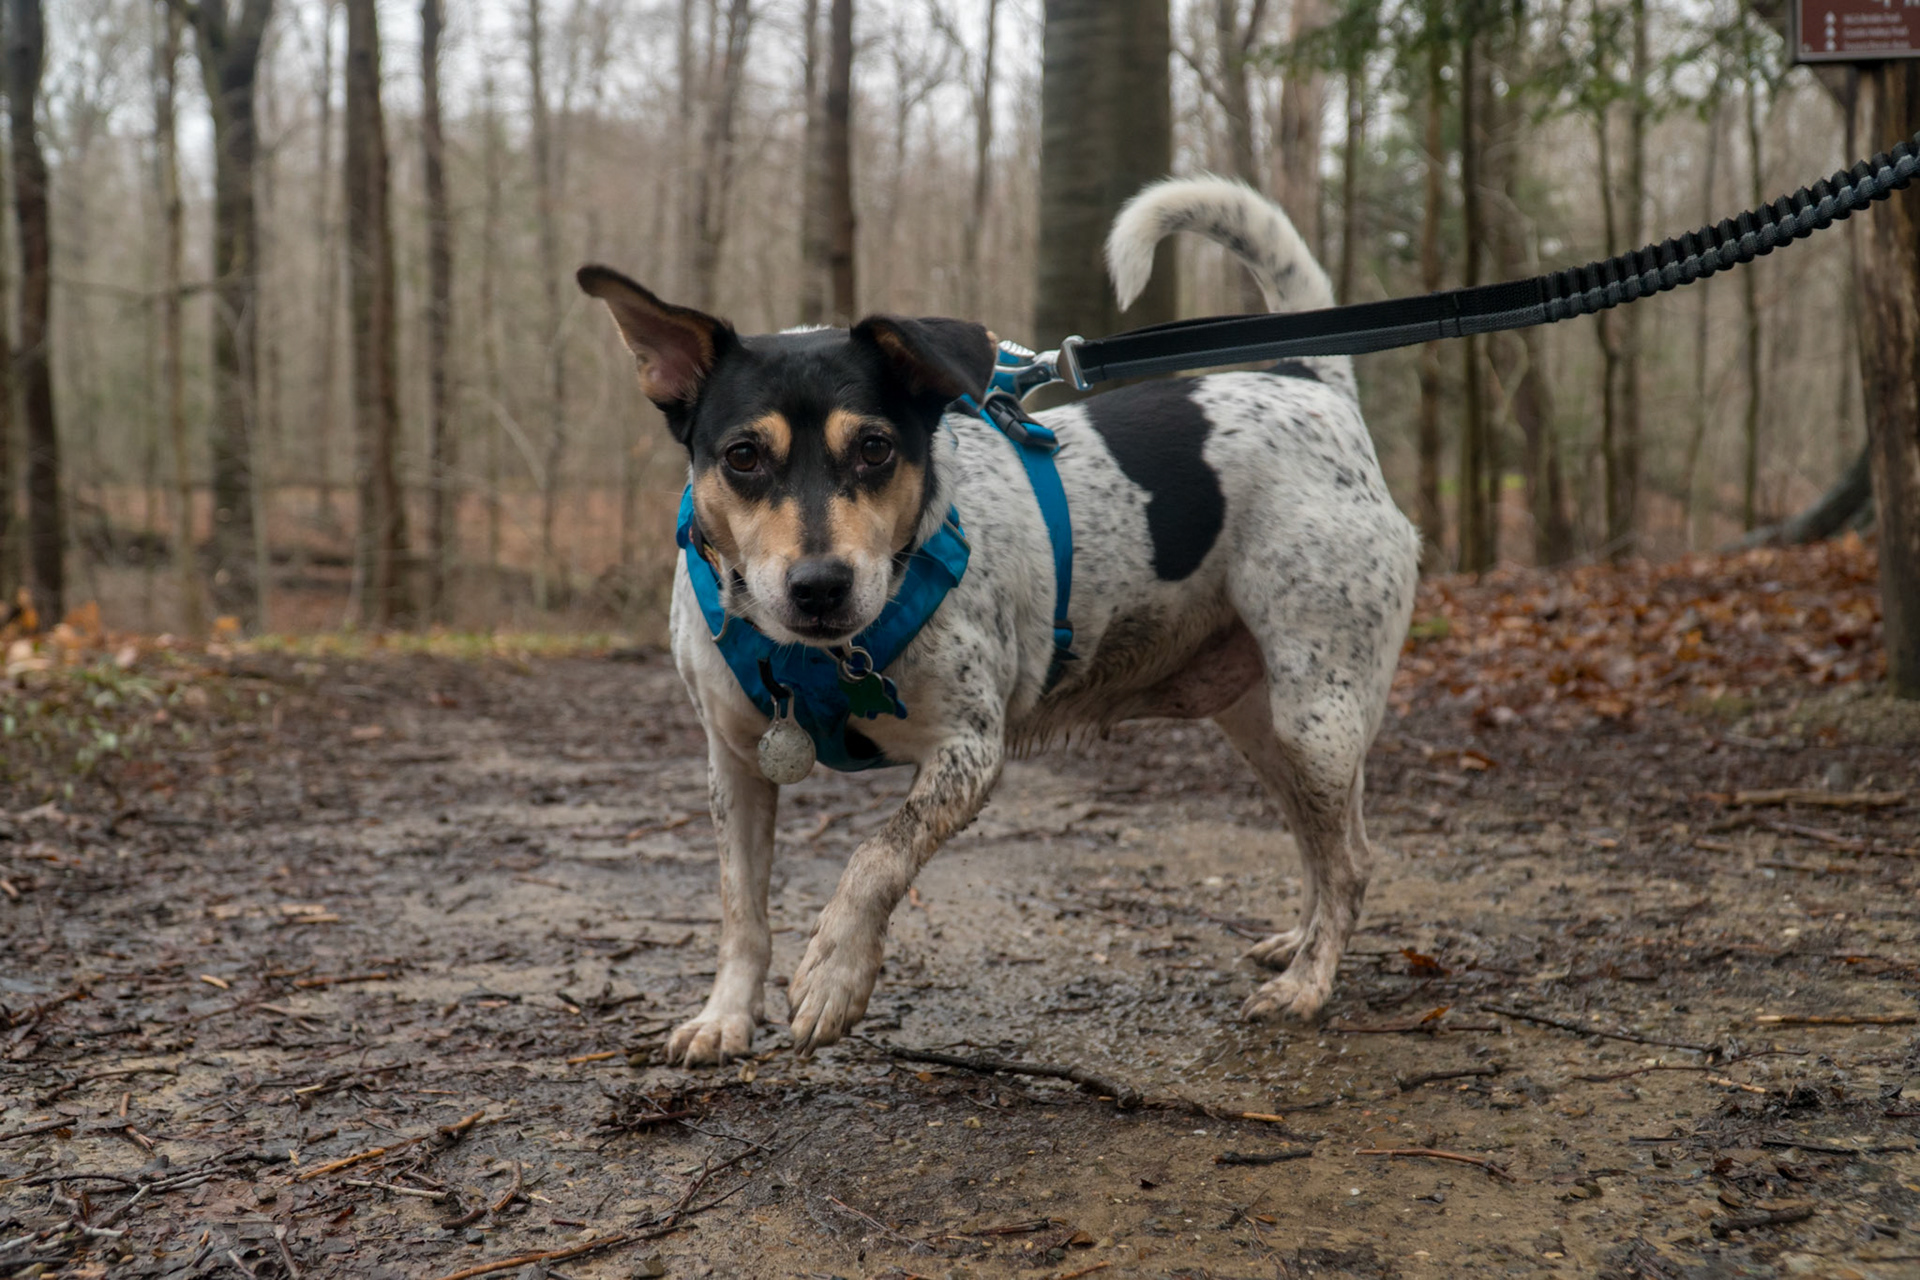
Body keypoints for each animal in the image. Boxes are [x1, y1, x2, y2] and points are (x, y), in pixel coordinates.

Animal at [579, 177, 1420, 1066]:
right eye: (742, 456)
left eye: (875, 448)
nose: (818, 587)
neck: (821, 657)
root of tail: (1310, 381)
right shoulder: (735, 765)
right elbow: (741, 907)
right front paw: (726, 1015)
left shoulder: (968, 754)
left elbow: (876, 857)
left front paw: (835, 972)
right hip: (1266, 724)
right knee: (1319, 842)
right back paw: (1296, 943)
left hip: (1317, 715)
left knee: (1351, 859)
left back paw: (1308, 982)